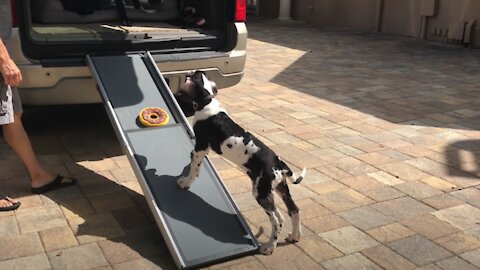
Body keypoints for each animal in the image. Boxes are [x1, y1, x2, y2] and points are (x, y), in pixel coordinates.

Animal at [174, 70, 306, 254]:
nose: (188, 72)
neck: (207, 102)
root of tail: (279, 165)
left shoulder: (201, 146)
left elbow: (194, 167)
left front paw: (185, 182)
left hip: (261, 193)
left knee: (277, 219)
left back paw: (269, 247)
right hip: (281, 188)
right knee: (294, 210)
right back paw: (295, 236)